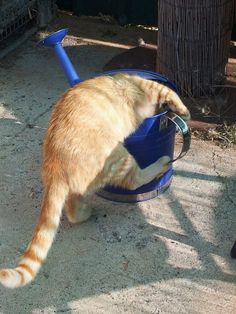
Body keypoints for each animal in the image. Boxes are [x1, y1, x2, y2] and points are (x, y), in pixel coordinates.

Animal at [0, 73, 189, 288]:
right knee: (135, 180)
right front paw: (184, 111)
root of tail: (54, 166)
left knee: (73, 208)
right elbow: (174, 95)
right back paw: (161, 163)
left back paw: (84, 213)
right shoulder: (153, 88)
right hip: (120, 156)